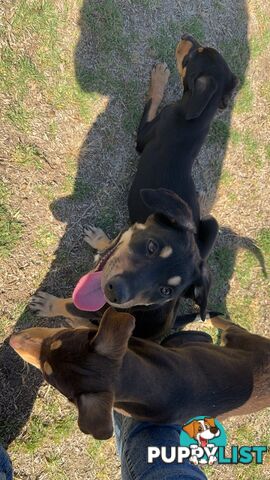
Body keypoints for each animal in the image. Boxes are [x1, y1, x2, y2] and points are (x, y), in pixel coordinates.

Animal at [9, 310, 270, 440]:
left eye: (47, 376)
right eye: (58, 337)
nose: (12, 339)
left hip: (240, 338)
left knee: (230, 326)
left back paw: (213, 317)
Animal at [30, 36, 236, 338]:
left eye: (196, 53)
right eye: (151, 247)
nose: (186, 37)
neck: (197, 119)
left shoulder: (144, 135)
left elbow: (152, 100)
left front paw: (48, 305)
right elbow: (113, 242)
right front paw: (99, 239)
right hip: (211, 224)